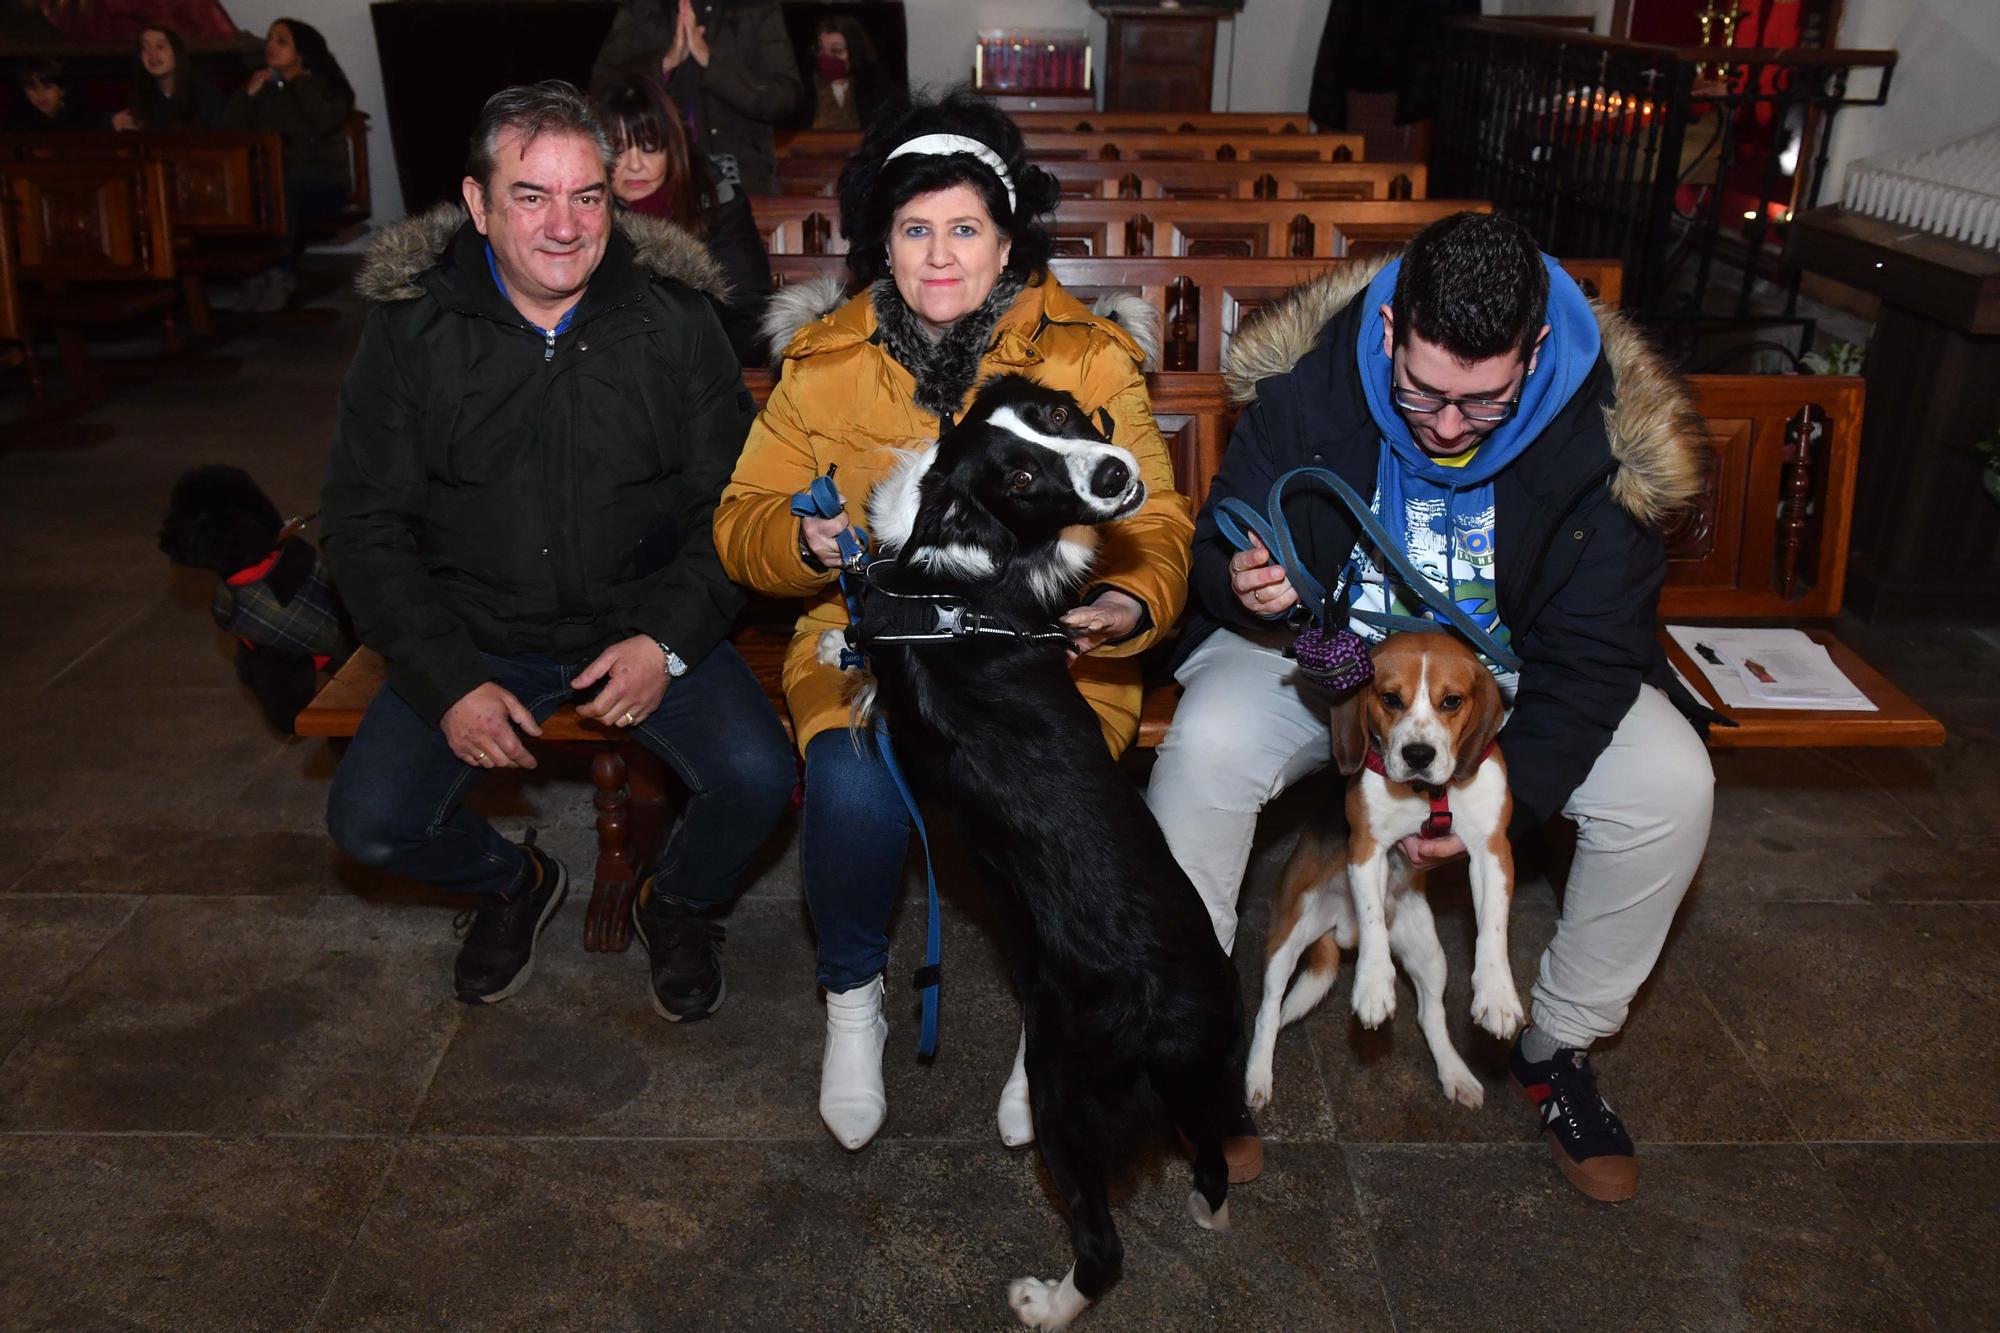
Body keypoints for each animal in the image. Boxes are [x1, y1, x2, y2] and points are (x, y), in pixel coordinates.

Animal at [162, 456, 358, 728]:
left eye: (198, 517)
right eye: (175, 509)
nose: (165, 540)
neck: (257, 566)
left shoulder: (281, 659)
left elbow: (283, 695)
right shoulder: (253, 650)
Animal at [832, 374, 1240, 1328]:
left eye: (1058, 417)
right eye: (1018, 478)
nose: (1115, 471)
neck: (947, 588)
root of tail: (1169, 1000)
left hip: (1065, 1096)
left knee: (1102, 1245)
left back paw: (1043, 1303)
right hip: (1193, 1076)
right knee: (1212, 1154)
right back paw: (1207, 1213)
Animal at [1240, 628, 1520, 1104]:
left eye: (1451, 701)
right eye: (1390, 698)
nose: (1418, 755)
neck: (1429, 793)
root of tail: (1340, 931)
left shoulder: (1492, 850)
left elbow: (1493, 928)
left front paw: (1498, 994)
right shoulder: (1367, 849)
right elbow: (1372, 922)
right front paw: (1372, 985)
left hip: (1430, 956)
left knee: (1430, 1016)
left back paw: (1455, 1073)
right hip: (1286, 938)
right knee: (1269, 1010)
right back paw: (1258, 1075)